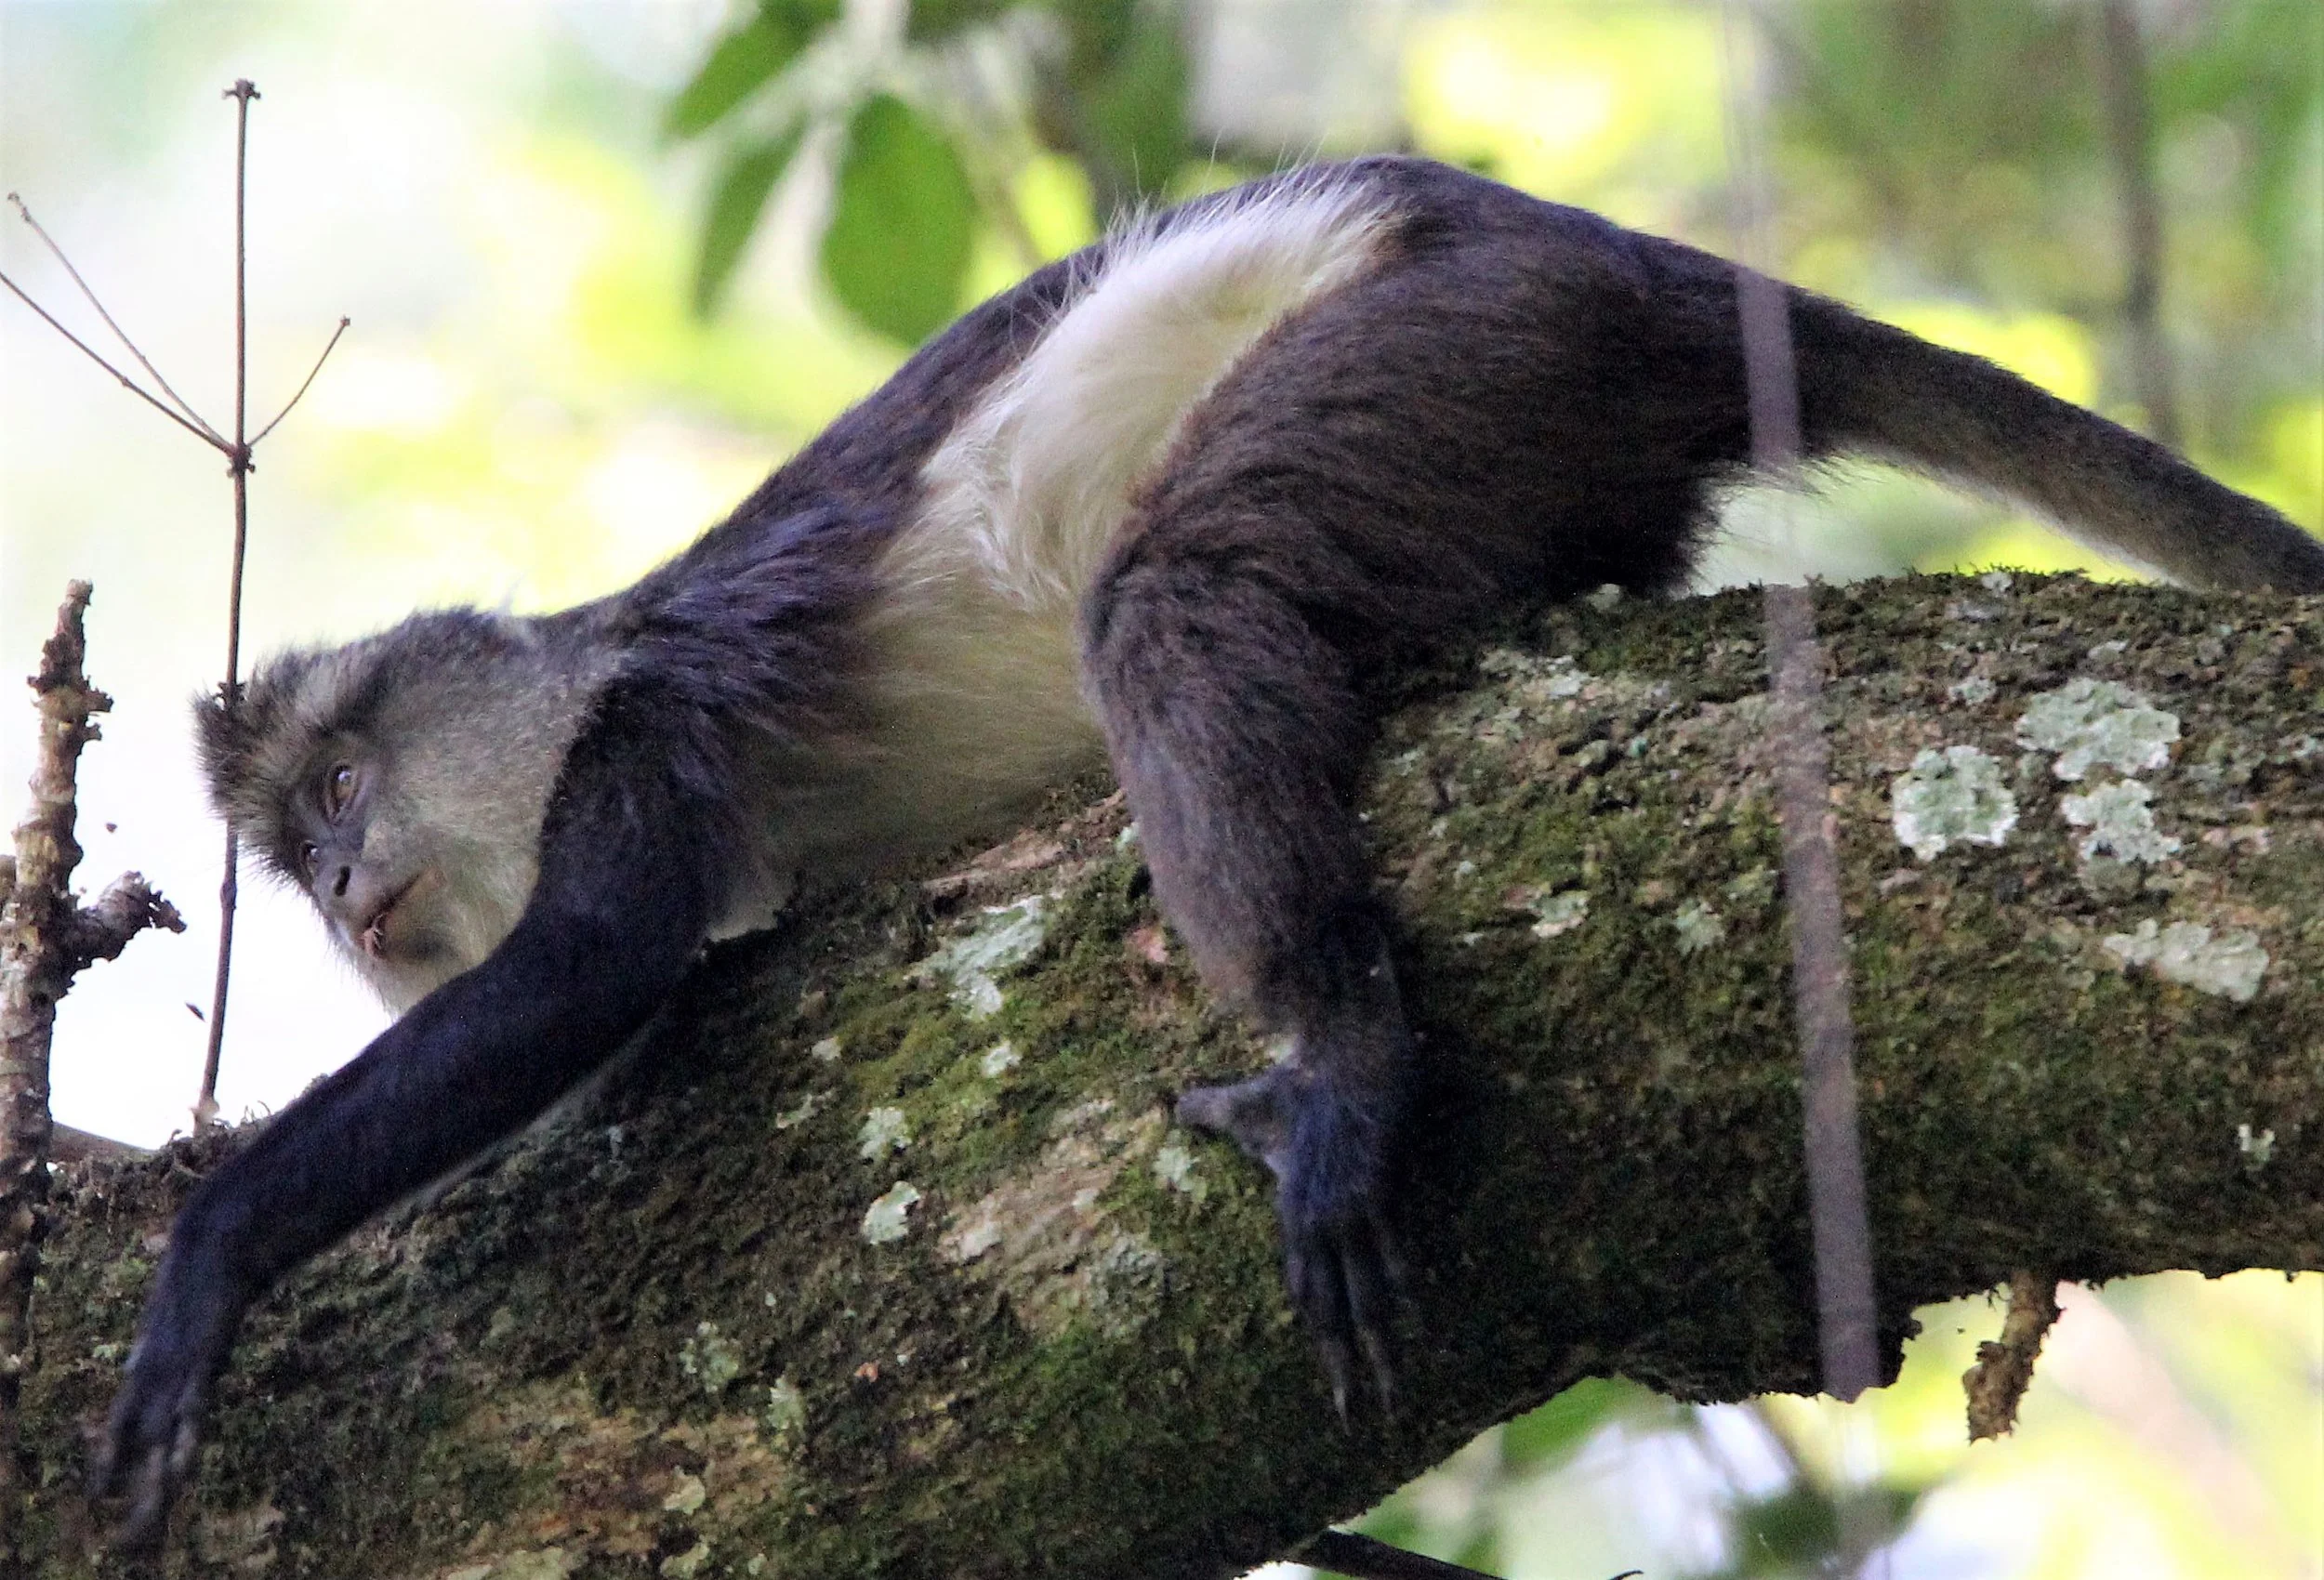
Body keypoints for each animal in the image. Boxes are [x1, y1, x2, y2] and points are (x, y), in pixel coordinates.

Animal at [95, 156, 2324, 1543]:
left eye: (340, 797)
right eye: (299, 869)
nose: (350, 902)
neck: (587, 666)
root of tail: (1633, 264)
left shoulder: (652, 738)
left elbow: (594, 971)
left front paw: (209, 1262)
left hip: (1461, 337)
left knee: (1174, 595)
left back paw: (1340, 1048)